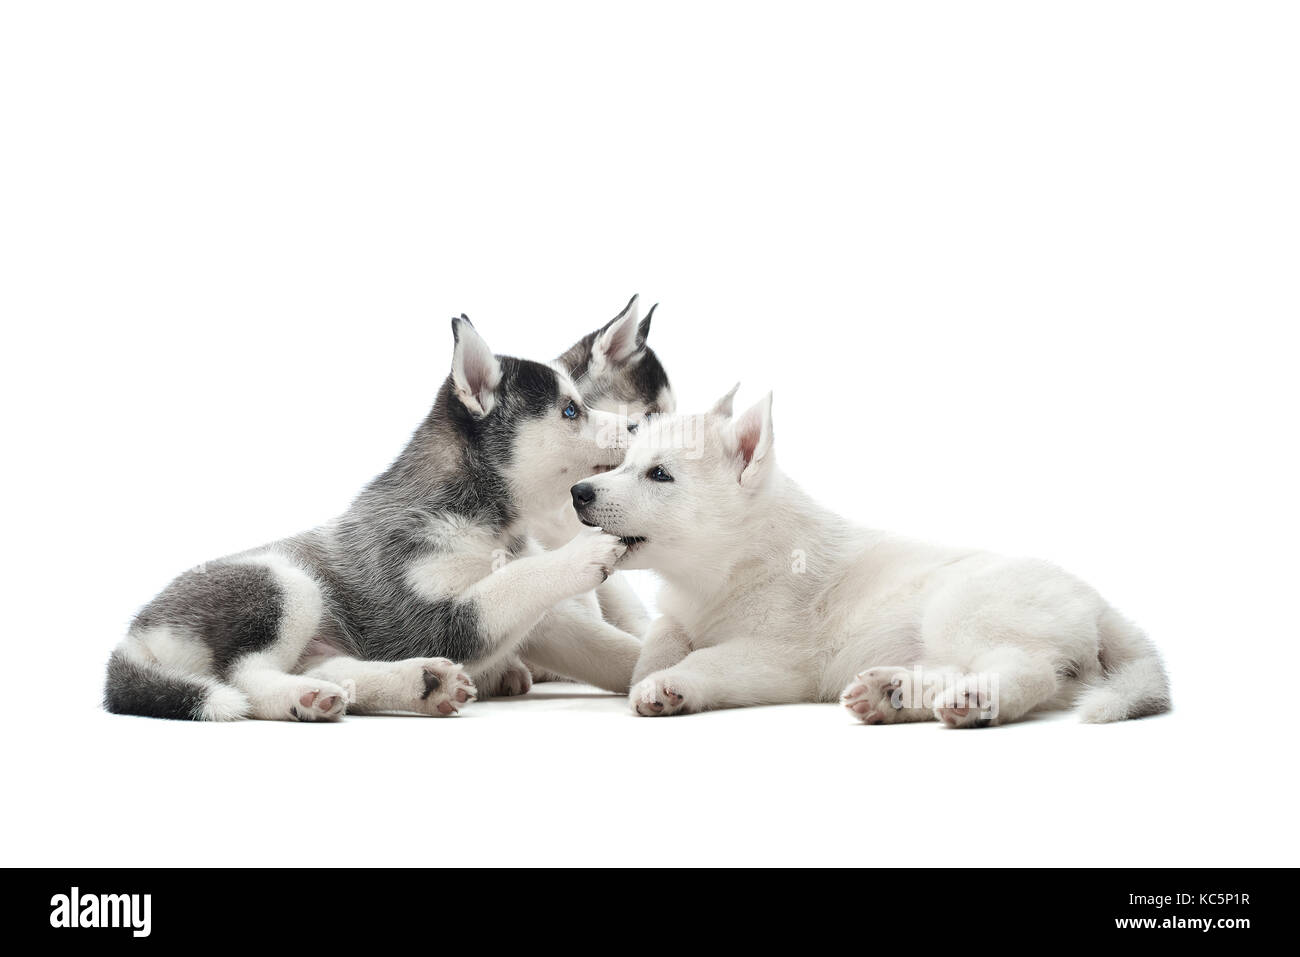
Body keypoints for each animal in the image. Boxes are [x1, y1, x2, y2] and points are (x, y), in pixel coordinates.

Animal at [102, 310, 655, 722]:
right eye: (571, 411)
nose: (641, 428)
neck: (486, 525)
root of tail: (135, 633)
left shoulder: (551, 624)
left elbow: (615, 647)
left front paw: (665, 671)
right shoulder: (426, 617)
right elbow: (513, 583)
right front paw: (584, 553)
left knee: (325, 667)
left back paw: (419, 684)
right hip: (287, 583)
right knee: (244, 676)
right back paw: (300, 699)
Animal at [574, 390, 1175, 722]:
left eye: (659, 474)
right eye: (623, 463)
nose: (579, 492)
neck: (733, 562)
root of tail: (1100, 603)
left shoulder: (780, 657)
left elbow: (706, 660)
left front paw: (668, 686)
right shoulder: (678, 614)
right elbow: (661, 639)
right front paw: (652, 671)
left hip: (963, 609)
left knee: (1029, 671)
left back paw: (973, 700)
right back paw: (894, 694)